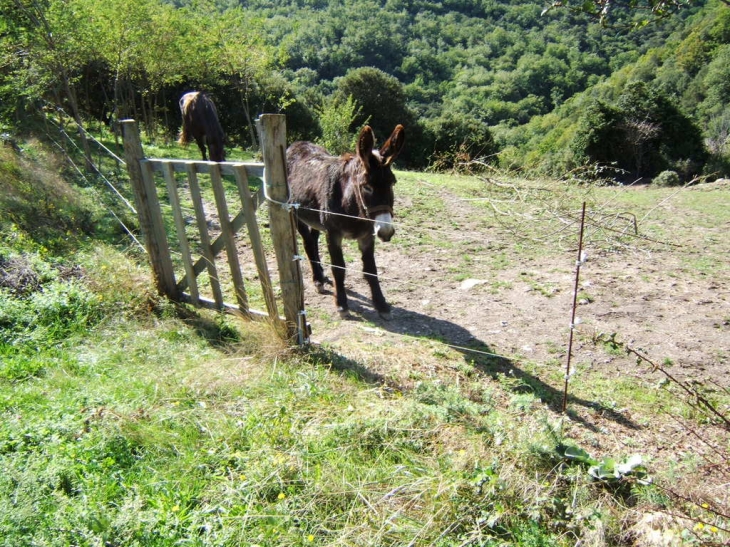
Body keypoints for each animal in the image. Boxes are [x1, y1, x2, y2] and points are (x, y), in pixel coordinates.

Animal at [286, 124, 404, 318]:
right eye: (366, 186)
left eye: (392, 183)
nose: (386, 232)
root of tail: (297, 143)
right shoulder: (333, 234)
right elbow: (339, 268)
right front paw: (341, 304)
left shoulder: (367, 236)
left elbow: (371, 269)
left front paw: (381, 304)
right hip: (295, 214)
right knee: (308, 243)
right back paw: (318, 280)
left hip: (315, 218)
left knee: (314, 240)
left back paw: (321, 275)